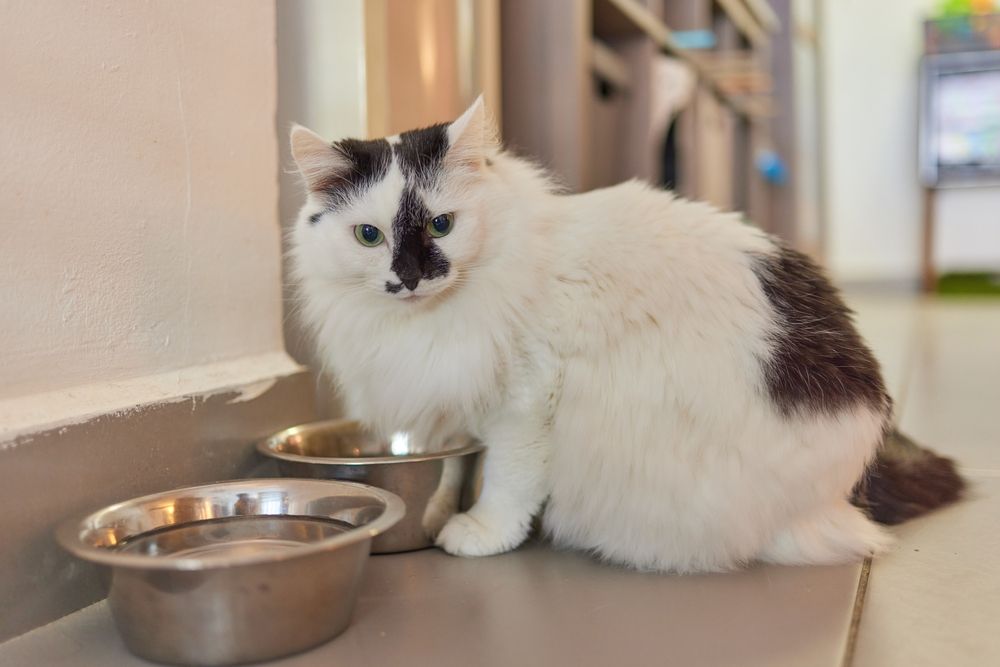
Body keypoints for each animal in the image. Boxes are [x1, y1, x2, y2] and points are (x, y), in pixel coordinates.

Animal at [288, 98, 960, 576]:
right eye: (369, 236)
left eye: (441, 225)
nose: (408, 278)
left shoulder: (527, 403)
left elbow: (508, 480)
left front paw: (480, 530)